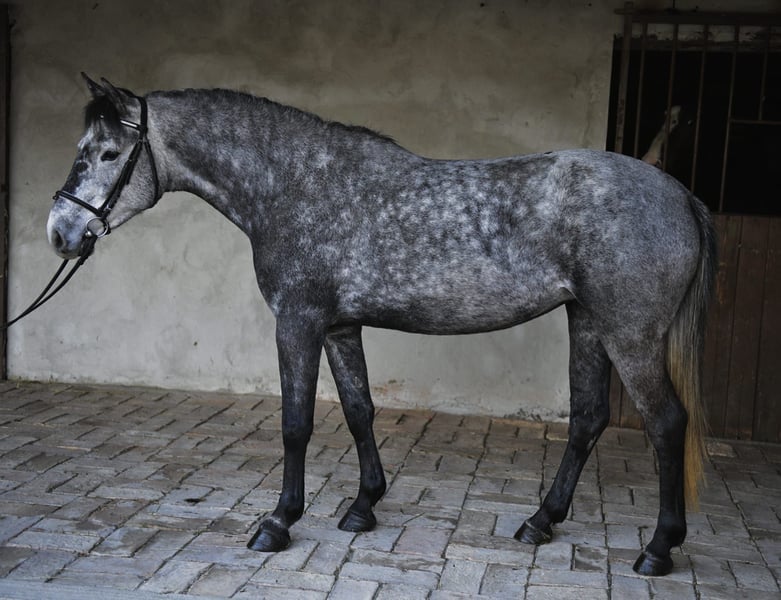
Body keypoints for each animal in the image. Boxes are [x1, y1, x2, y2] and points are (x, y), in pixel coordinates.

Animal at [47, 75, 716, 577]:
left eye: (108, 154)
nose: (61, 233)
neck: (297, 185)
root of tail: (680, 194)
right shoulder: (340, 328)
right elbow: (358, 410)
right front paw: (363, 507)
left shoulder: (298, 322)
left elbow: (295, 424)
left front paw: (278, 522)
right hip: (589, 324)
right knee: (588, 419)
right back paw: (539, 522)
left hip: (631, 336)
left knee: (665, 423)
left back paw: (658, 549)